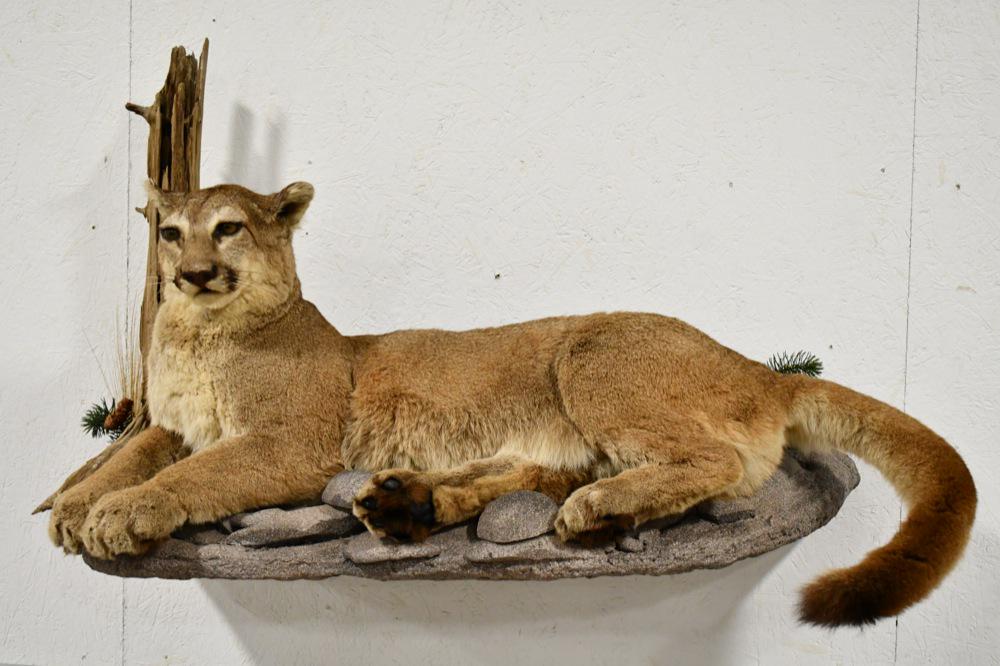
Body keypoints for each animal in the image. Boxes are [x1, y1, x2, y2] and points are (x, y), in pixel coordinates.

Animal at [48, 180, 976, 627]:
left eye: (230, 228)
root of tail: (758, 366)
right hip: (550, 439)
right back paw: (415, 504)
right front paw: (71, 505)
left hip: (593, 358)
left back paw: (593, 509)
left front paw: (121, 514)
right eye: (171, 232)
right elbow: (133, 448)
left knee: (717, 463)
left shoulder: (288, 443)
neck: (198, 334)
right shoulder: (174, 423)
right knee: (528, 477)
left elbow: (195, 475)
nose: (194, 273)